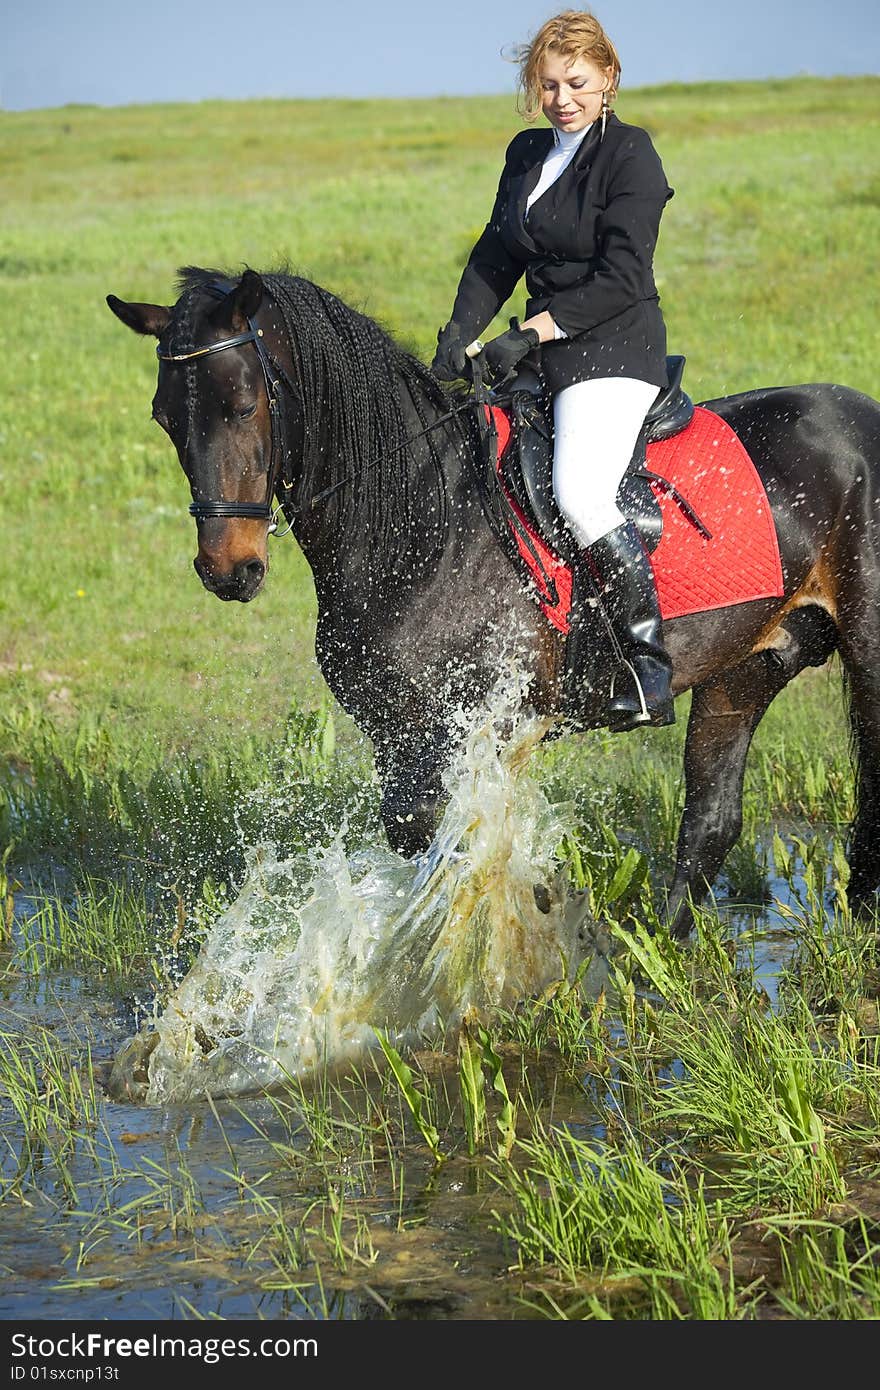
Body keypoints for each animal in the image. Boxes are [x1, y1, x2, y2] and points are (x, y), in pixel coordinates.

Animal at [106, 265, 878, 939]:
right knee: (711, 820)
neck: (425, 524)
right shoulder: (398, 738)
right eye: (164, 417)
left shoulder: (472, 730)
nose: (227, 569)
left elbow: (458, 856)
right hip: (743, 668)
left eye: (243, 405)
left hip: (864, 651)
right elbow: (429, 850)